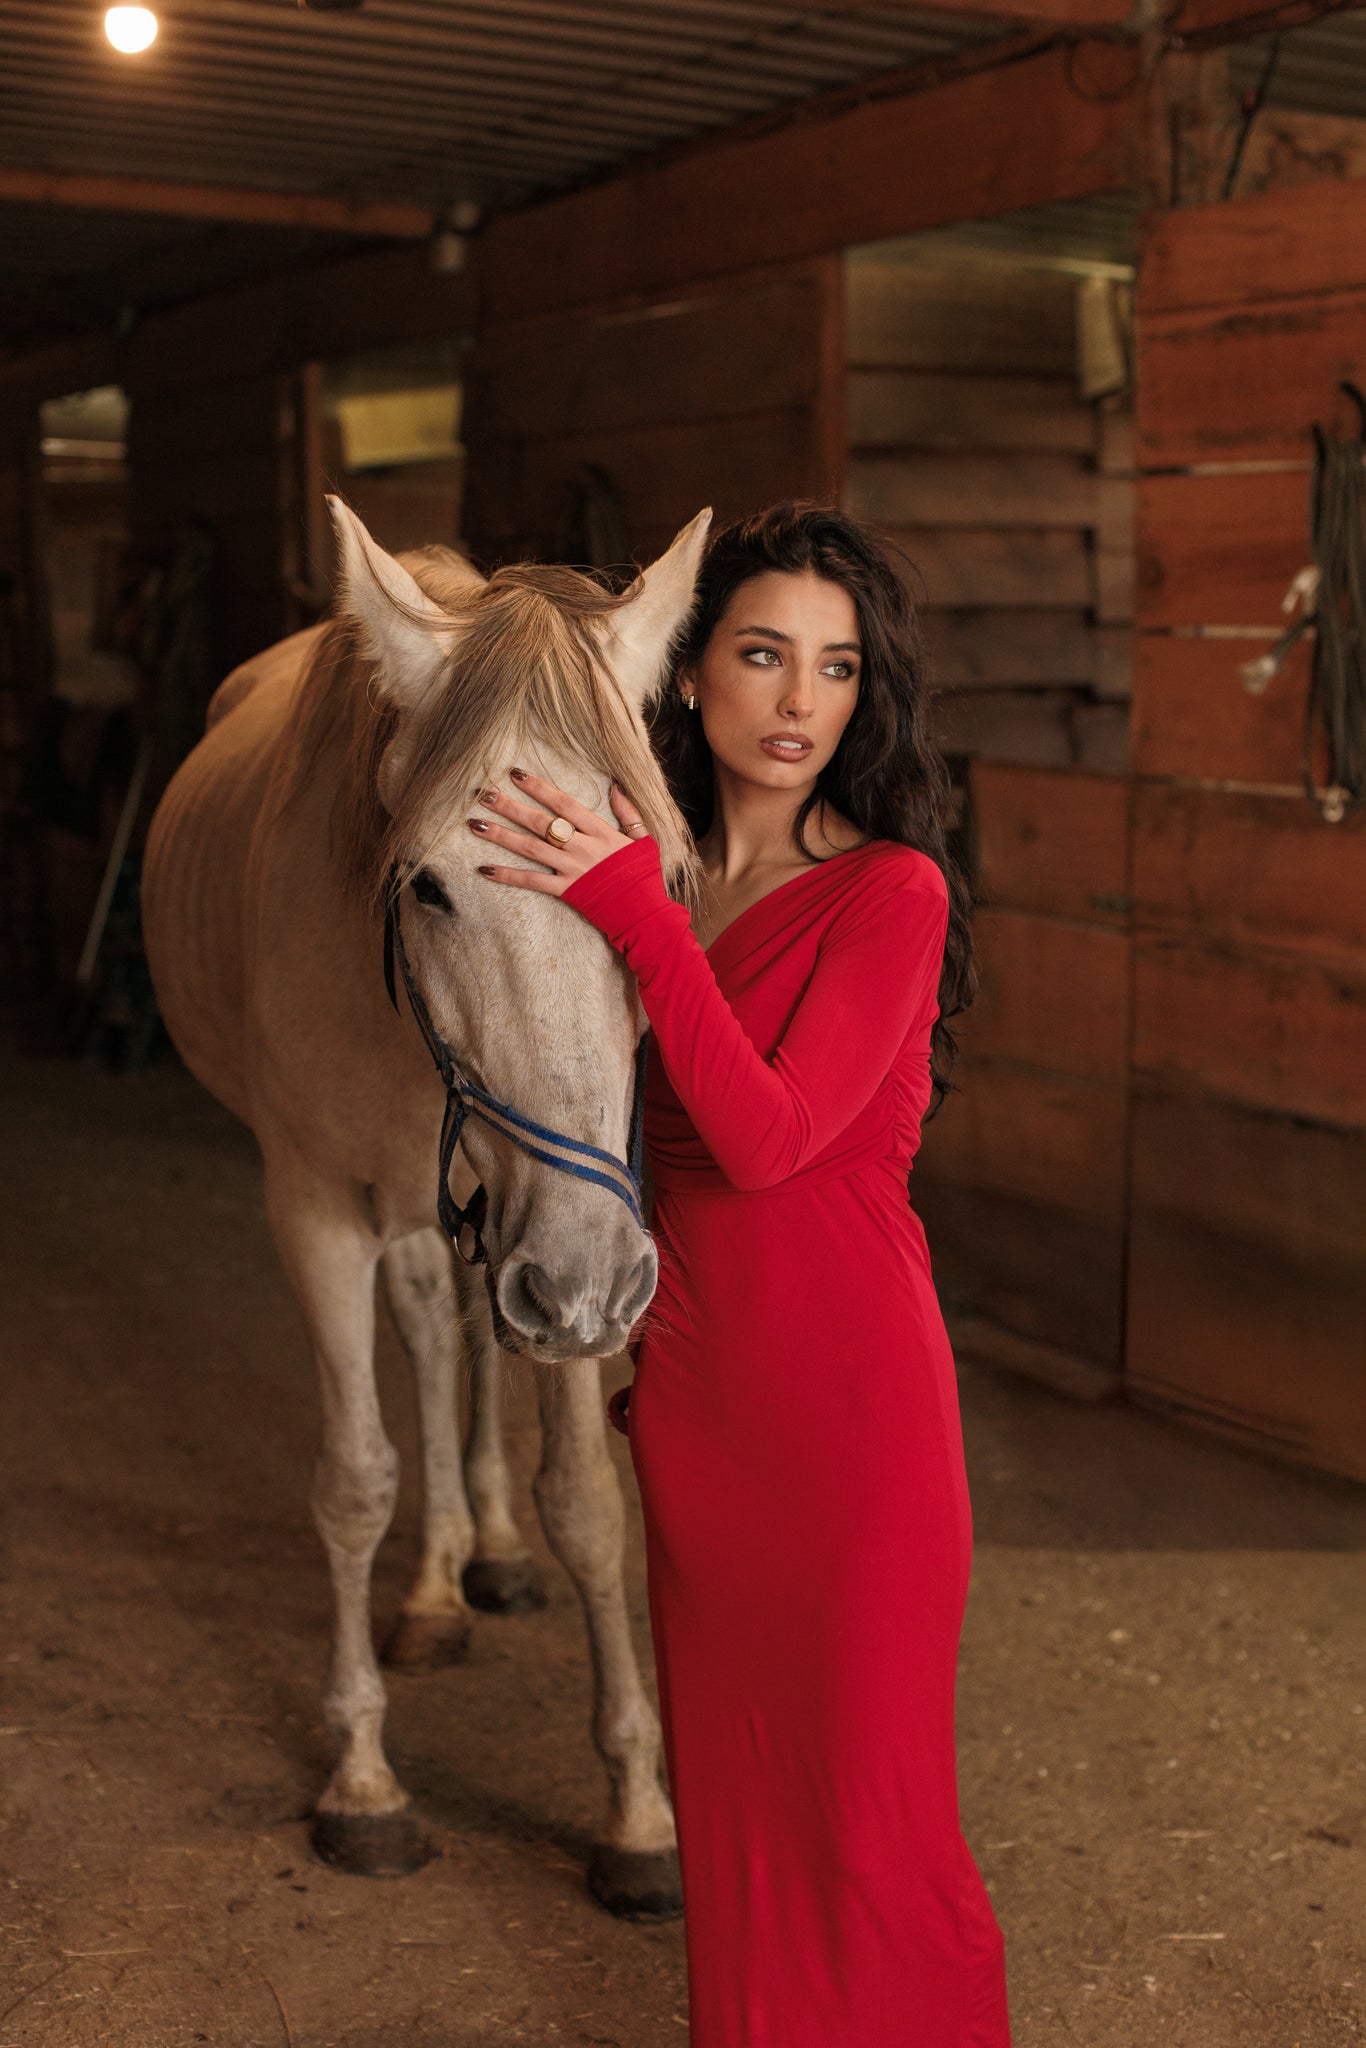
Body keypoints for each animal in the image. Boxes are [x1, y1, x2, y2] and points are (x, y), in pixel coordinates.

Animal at [143, 503, 712, 1908]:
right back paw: (438, 1586)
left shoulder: (571, 1226)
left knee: (469, 1337)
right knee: (427, 1329)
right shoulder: (320, 1216)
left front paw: (637, 1808)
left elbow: (588, 1499)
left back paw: (485, 1549)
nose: (586, 1282)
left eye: (652, 875)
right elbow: (355, 1480)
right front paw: (361, 1780)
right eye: (429, 884)